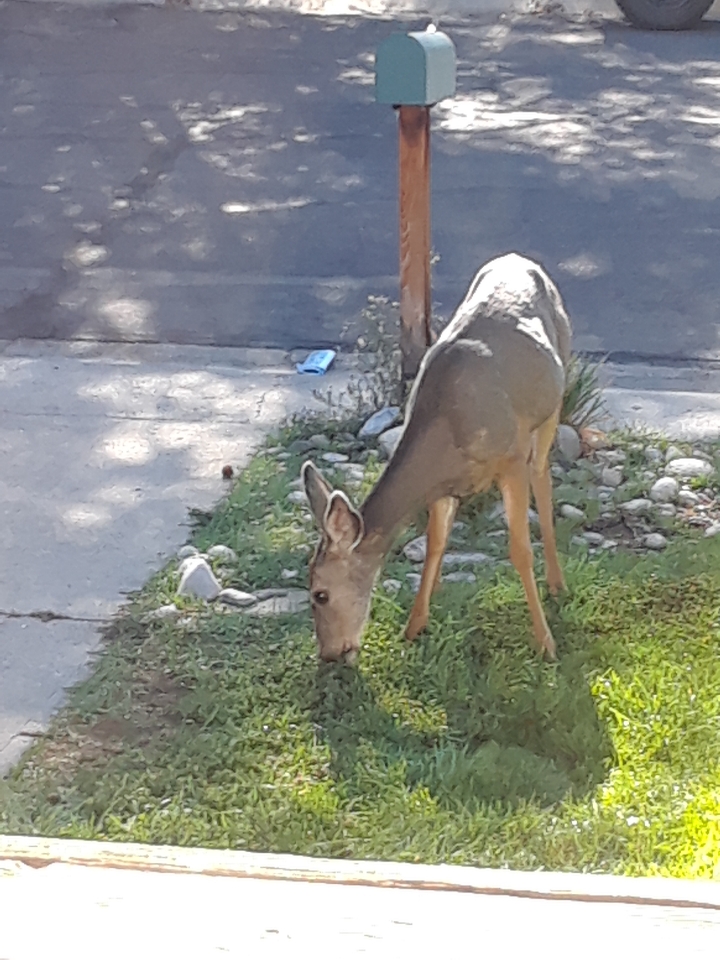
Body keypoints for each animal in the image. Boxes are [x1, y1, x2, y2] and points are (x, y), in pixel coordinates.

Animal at [302, 252, 572, 664]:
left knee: (542, 474)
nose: (330, 655)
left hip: (555, 393)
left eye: (320, 594)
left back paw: (557, 584)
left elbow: (520, 550)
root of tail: (517, 257)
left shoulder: (510, 458)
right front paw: (414, 627)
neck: (448, 425)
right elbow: (434, 545)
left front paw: (546, 643)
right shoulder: (445, 486)